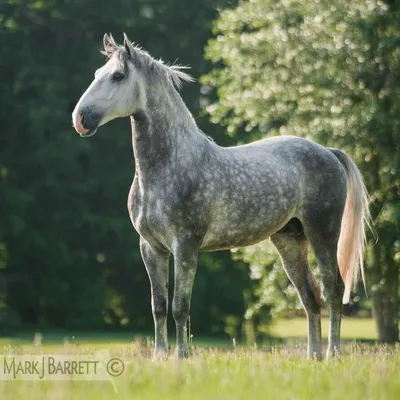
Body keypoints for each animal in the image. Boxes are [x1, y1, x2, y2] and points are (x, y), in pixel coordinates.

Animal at [72, 33, 368, 360]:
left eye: (118, 76)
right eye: (97, 73)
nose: (80, 118)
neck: (170, 165)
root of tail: (328, 152)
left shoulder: (186, 246)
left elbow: (180, 306)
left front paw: (181, 356)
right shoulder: (151, 247)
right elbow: (158, 306)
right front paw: (159, 356)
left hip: (322, 233)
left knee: (333, 290)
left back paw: (332, 354)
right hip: (290, 240)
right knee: (310, 296)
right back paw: (312, 356)